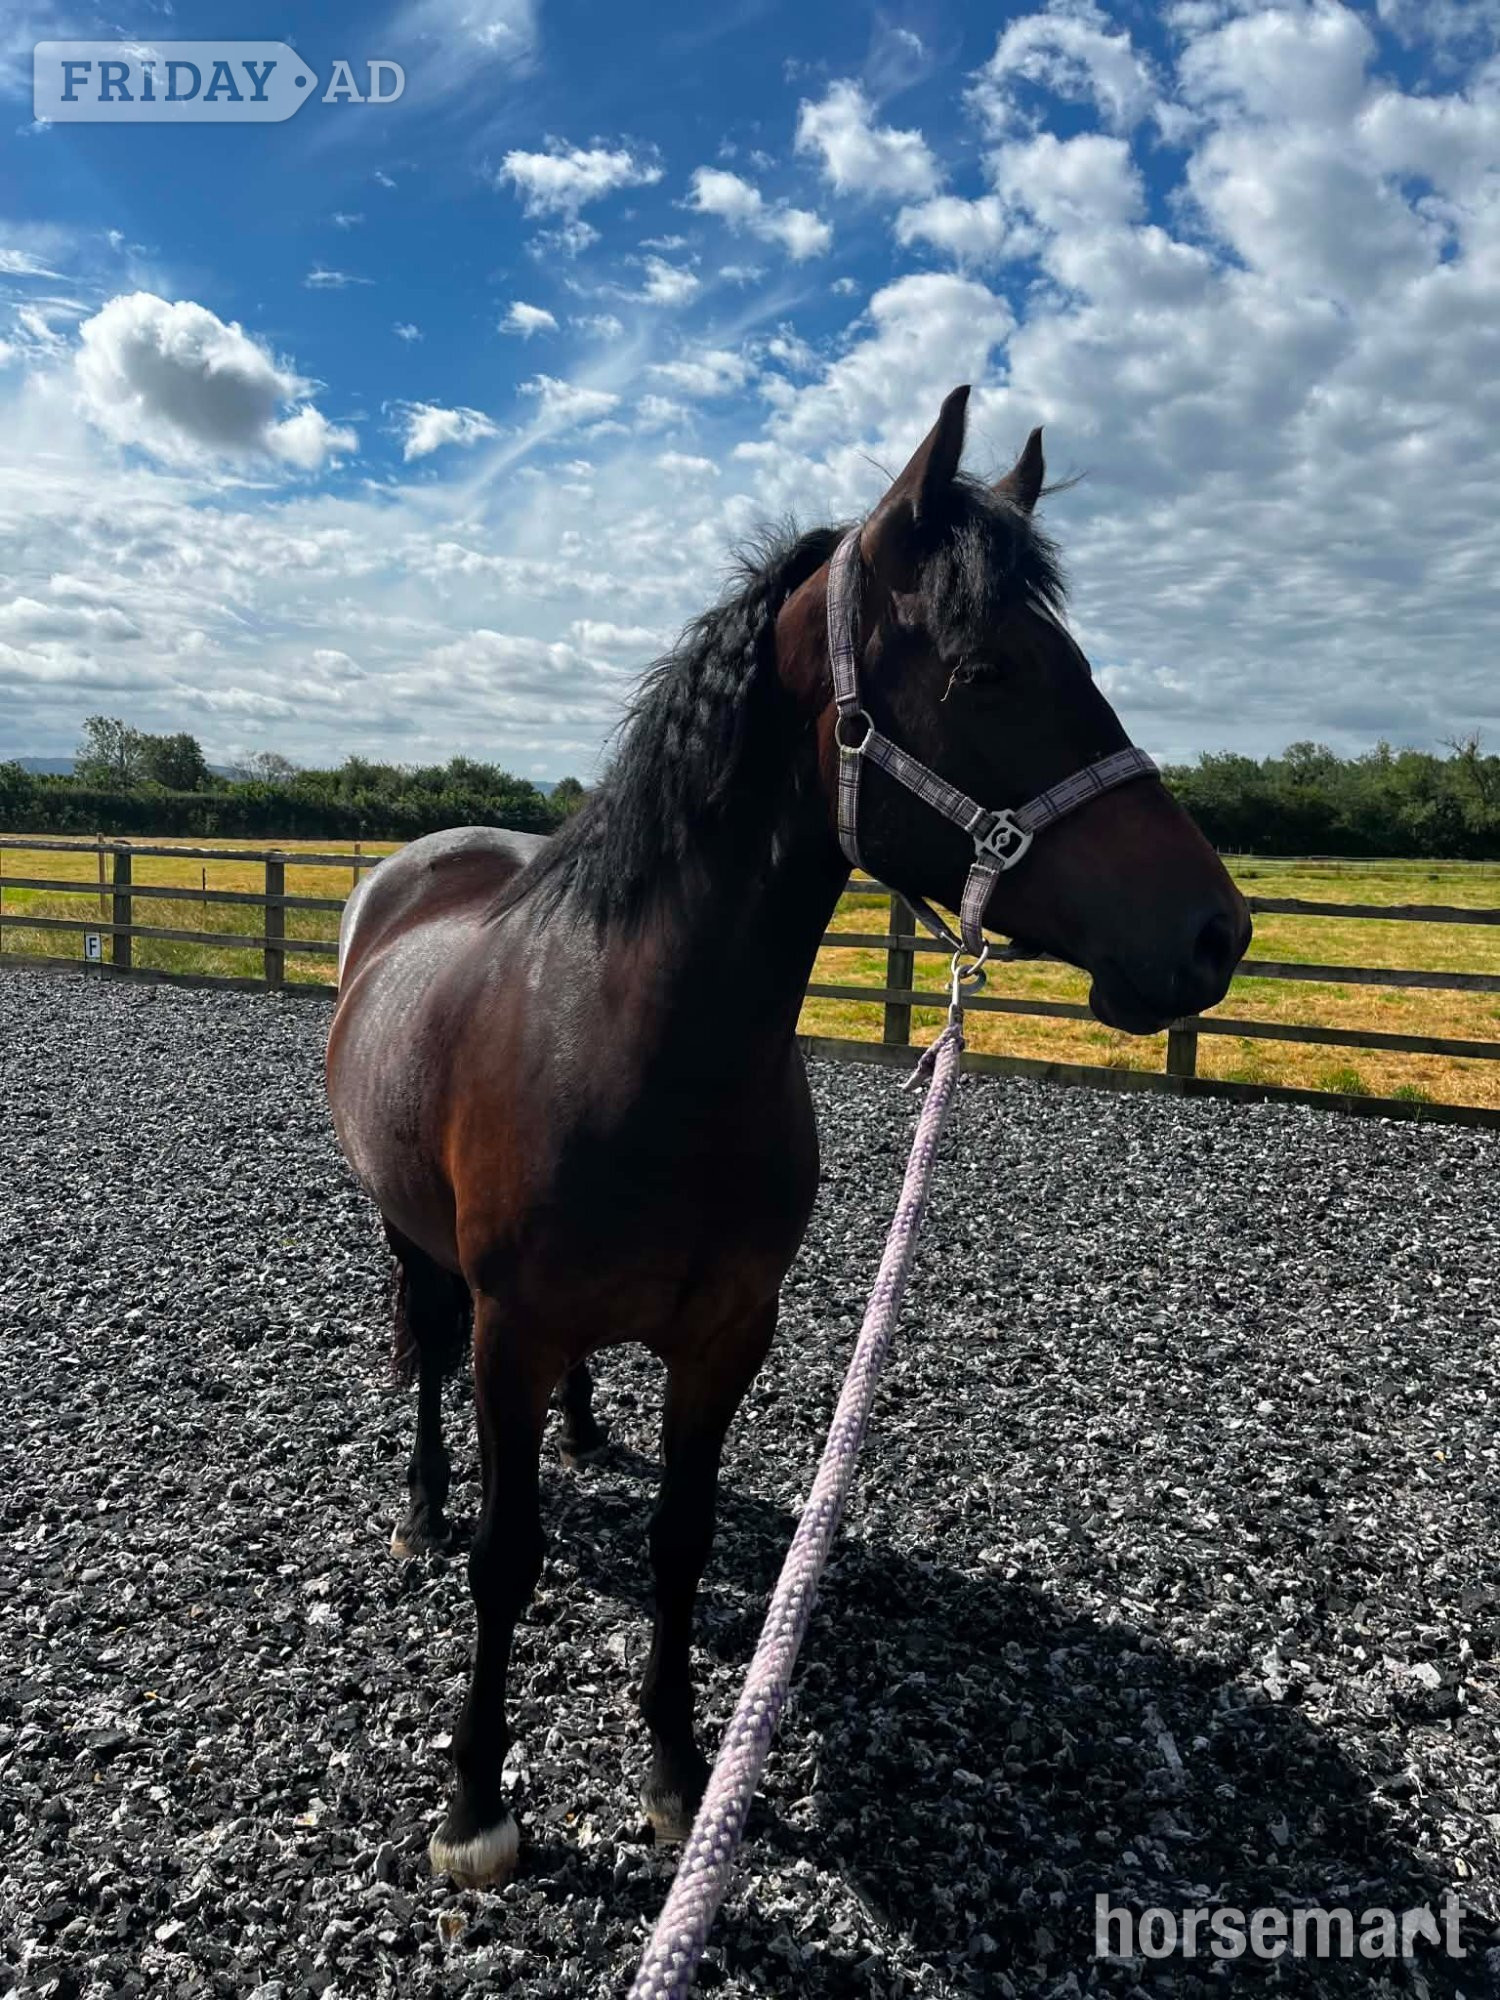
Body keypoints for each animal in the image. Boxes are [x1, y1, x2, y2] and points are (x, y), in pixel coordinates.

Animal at [326, 386, 1251, 1887]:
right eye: (988, 670)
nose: (1216, 932)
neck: (638, 1049)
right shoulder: (514, 1330)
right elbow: (509, 1558)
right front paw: (474, 1801)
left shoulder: (727, 1333)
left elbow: (684, 1541)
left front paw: (673, 1770)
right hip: (411, 1237)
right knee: (423, 1349)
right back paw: (420, 1502)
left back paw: (587, 1432)